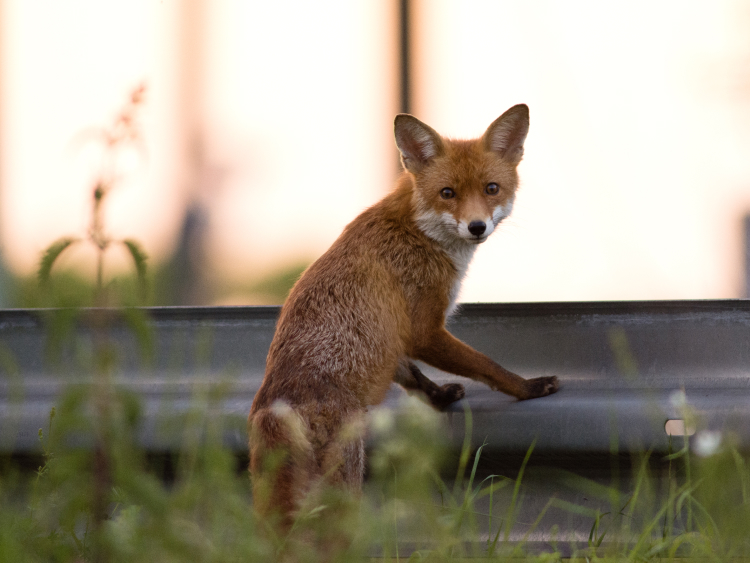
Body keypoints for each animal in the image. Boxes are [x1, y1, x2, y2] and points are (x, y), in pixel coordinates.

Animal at [250, 103, 560, 532]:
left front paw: (441, 395)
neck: (417, 231)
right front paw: (528, 387)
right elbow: (488, 366)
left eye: (491, 188)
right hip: (344, 485)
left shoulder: (390, 338)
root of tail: (275, 407)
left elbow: (412, 377)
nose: (477, 226)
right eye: (448, 193)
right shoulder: (423, 328)